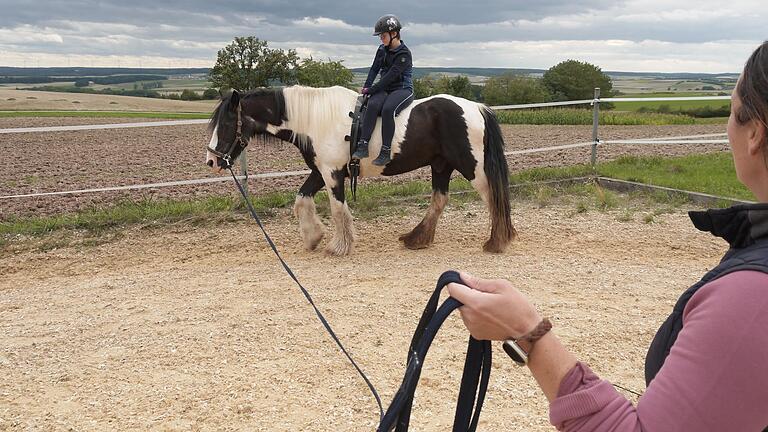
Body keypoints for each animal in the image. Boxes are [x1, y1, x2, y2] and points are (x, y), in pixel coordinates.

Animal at [204, 86, 516, 258]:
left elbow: (338, 208)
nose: (212, 161)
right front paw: (313, 236)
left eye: (227, 123)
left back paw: (497, 241)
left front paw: (339, 246)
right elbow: (301, 200)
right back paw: (417, 239)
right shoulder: (319, 171)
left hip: (471, 165)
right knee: (439, 200)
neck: (314, 118)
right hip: (441, 165)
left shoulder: (332, 173)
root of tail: (476, 107)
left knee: (492, 196)